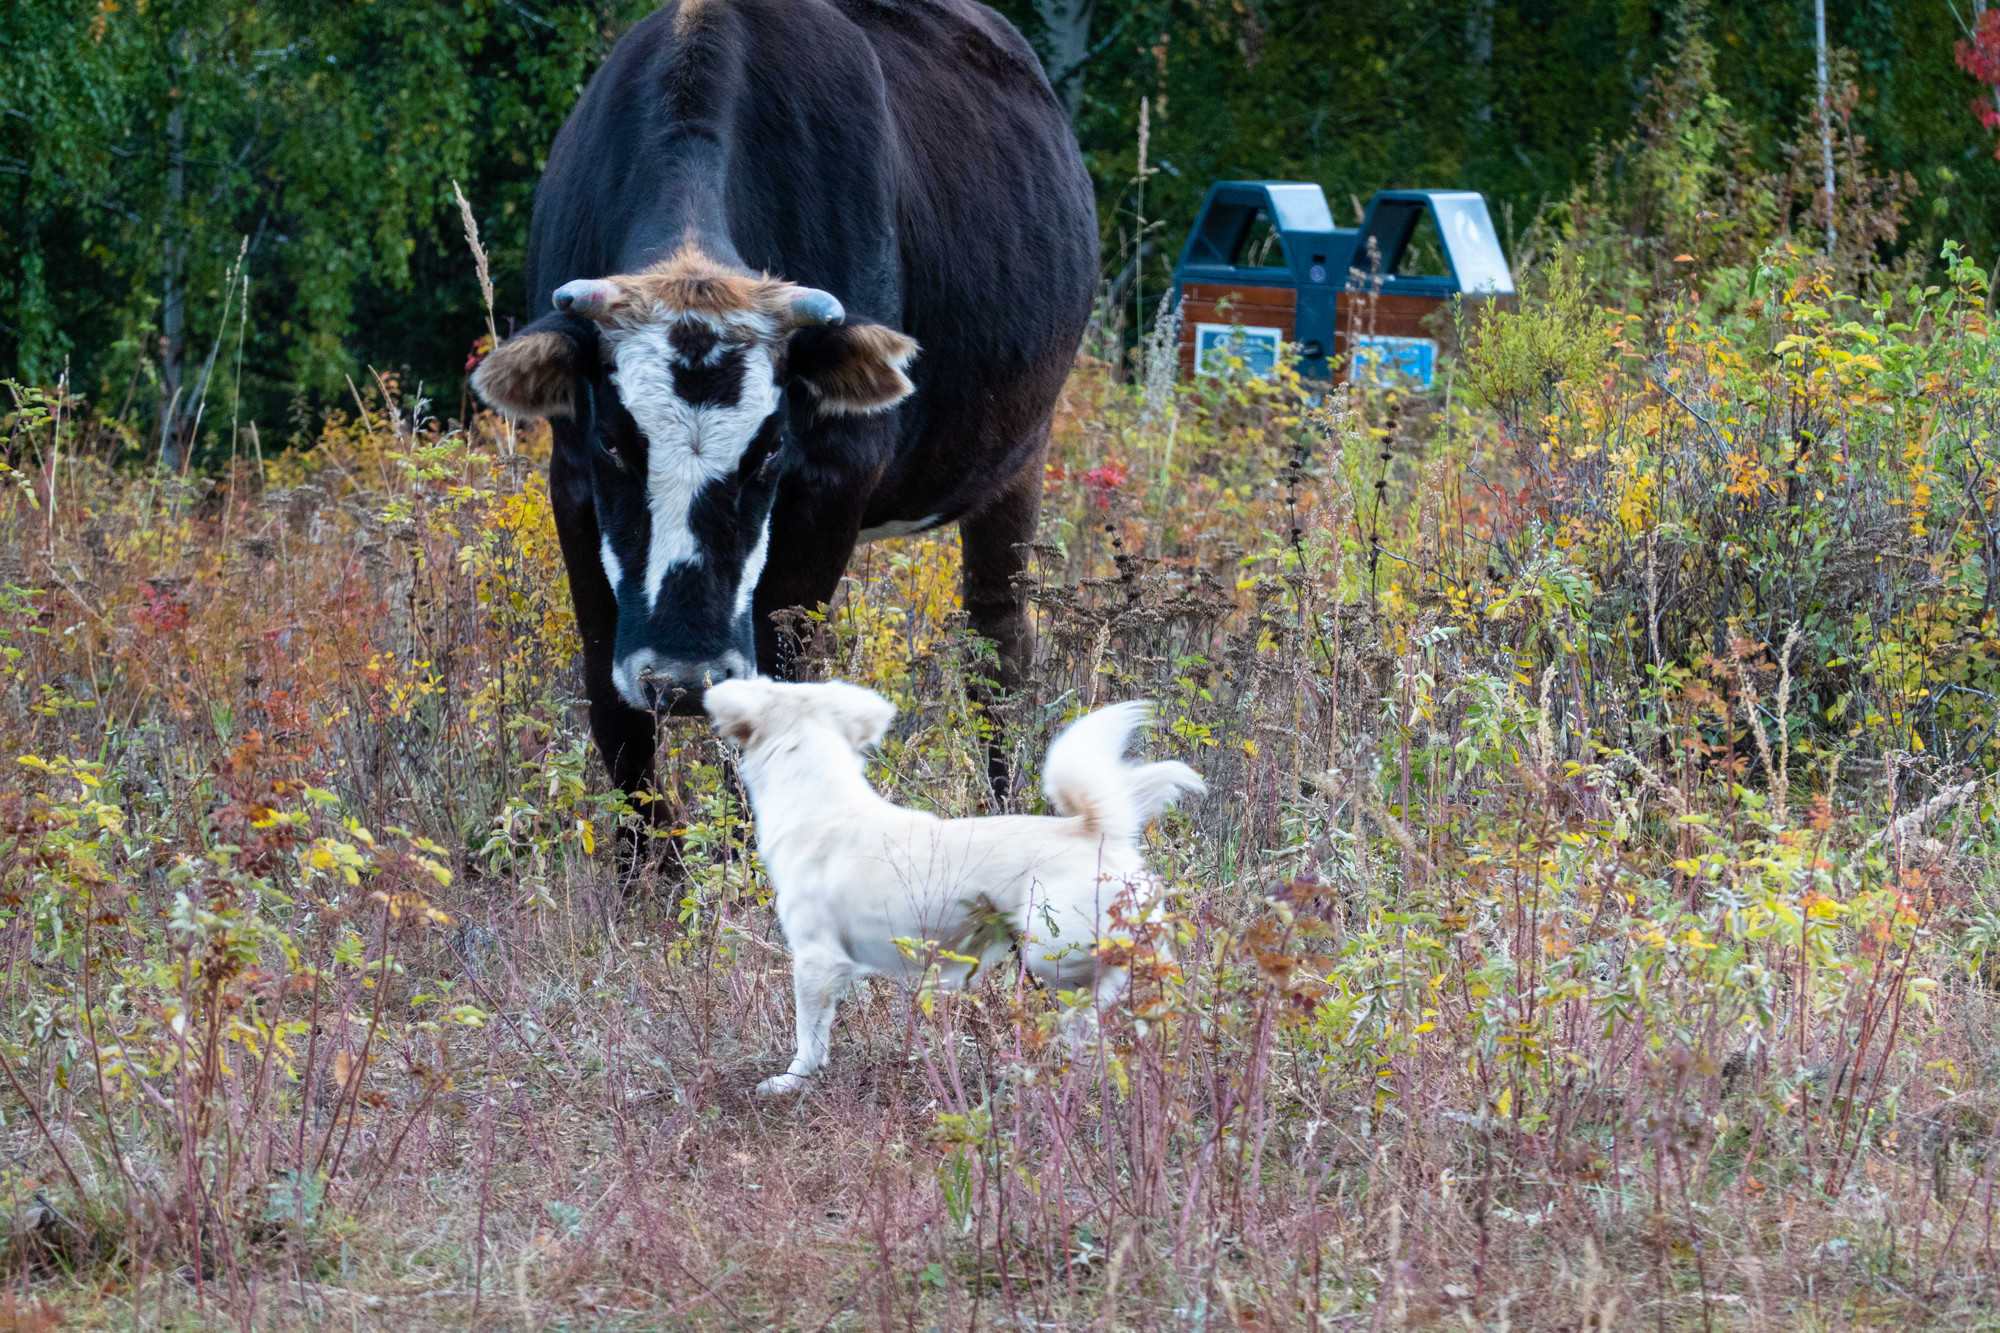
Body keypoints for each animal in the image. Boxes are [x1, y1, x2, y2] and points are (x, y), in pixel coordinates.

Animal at [472, 0, 1096, 840]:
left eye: (771, 450)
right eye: (612, 441)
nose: (684, 675)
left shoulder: (831, 482)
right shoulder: (569, 479)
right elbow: (614, 711)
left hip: (1019, 460)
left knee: (996, 652)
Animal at [704, 680, 1200, 1096]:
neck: (820, 805)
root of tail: (1095, 832)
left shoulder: (816, 959)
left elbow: (808, 1033)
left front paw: (791, 1081)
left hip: (1049, 948)